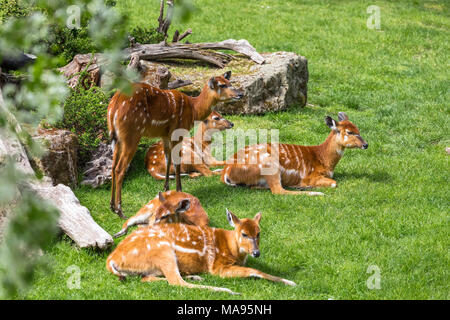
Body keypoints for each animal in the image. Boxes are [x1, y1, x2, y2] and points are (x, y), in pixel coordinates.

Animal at [105, 209, 296, 294]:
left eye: (258, 233)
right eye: (244, 234)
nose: (256, 253)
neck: (232, 249)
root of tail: (111, 259)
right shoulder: (218, 267)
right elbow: (254, 270)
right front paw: (291, 282)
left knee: (148, 278)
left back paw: (195, 276)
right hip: (162, 250)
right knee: (176, 282)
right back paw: (228, 290)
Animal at [106, 71, 243, 219]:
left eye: (229, 82)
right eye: (222, 85)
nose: (240, 94)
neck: (194, 109)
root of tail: (113, 108)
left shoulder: (165, 135)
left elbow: (168, 160)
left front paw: (166, 190)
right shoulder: (178, 132)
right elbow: (177, 162)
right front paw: (179, 191)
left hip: (116, 137)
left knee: (112, 166)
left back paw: (112, 206)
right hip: (131, 134)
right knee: (120, 168)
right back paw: (120, 211)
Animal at [220, 112, 368, 195]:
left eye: (358, 129)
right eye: (349, 132)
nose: (366, 144)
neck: (324, 159)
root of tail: (226, 173)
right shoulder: (312, 175)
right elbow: (334, 183)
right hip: (269, 164)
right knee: (278, 191)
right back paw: (314, 192)